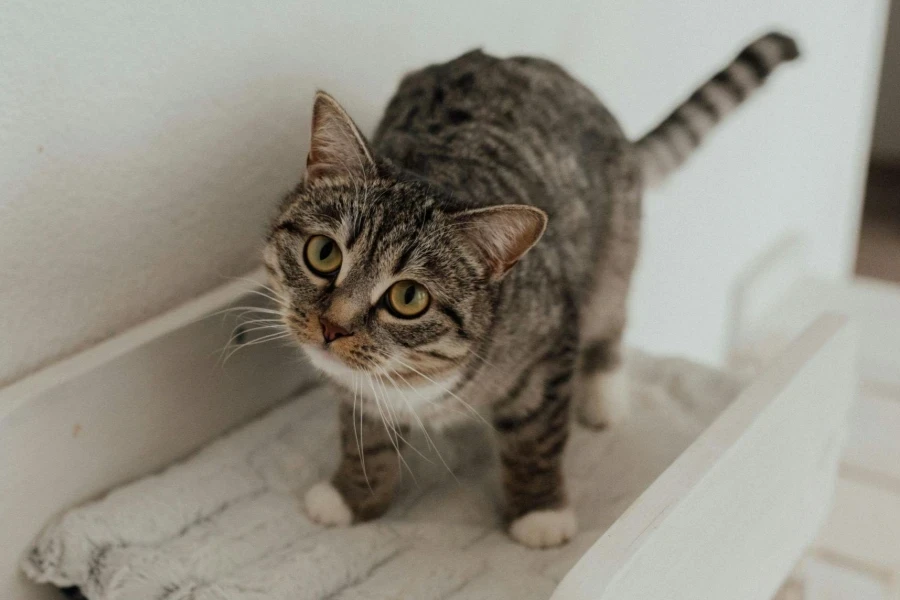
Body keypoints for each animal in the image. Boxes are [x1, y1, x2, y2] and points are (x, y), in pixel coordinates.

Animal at [264, 32, 800, 548]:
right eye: (323, 253)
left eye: (408, 298)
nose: (332, 326)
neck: (416, 380)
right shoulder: (361, 391)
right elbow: (368, 440)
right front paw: (353, 496)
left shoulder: (548, 350)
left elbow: (535, 439)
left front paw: (540, 513)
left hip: (613, 257)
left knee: (612, 319)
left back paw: (603, 395)